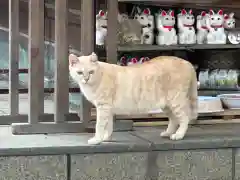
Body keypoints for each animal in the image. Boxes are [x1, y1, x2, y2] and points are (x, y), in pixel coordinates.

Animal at [68, 52, 198, 145]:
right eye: (79, 73)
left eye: (91, 72)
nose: (85, 79)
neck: (98, 77)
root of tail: (187, 62)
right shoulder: (108, 109)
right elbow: (108, 126)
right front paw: (106, 138)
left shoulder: (103, 107)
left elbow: (99, 125)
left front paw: (97, 139)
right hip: (166, 105)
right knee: (174, 119)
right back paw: (168, 133)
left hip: (176, 101)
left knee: (185, 118)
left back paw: (179, 135)